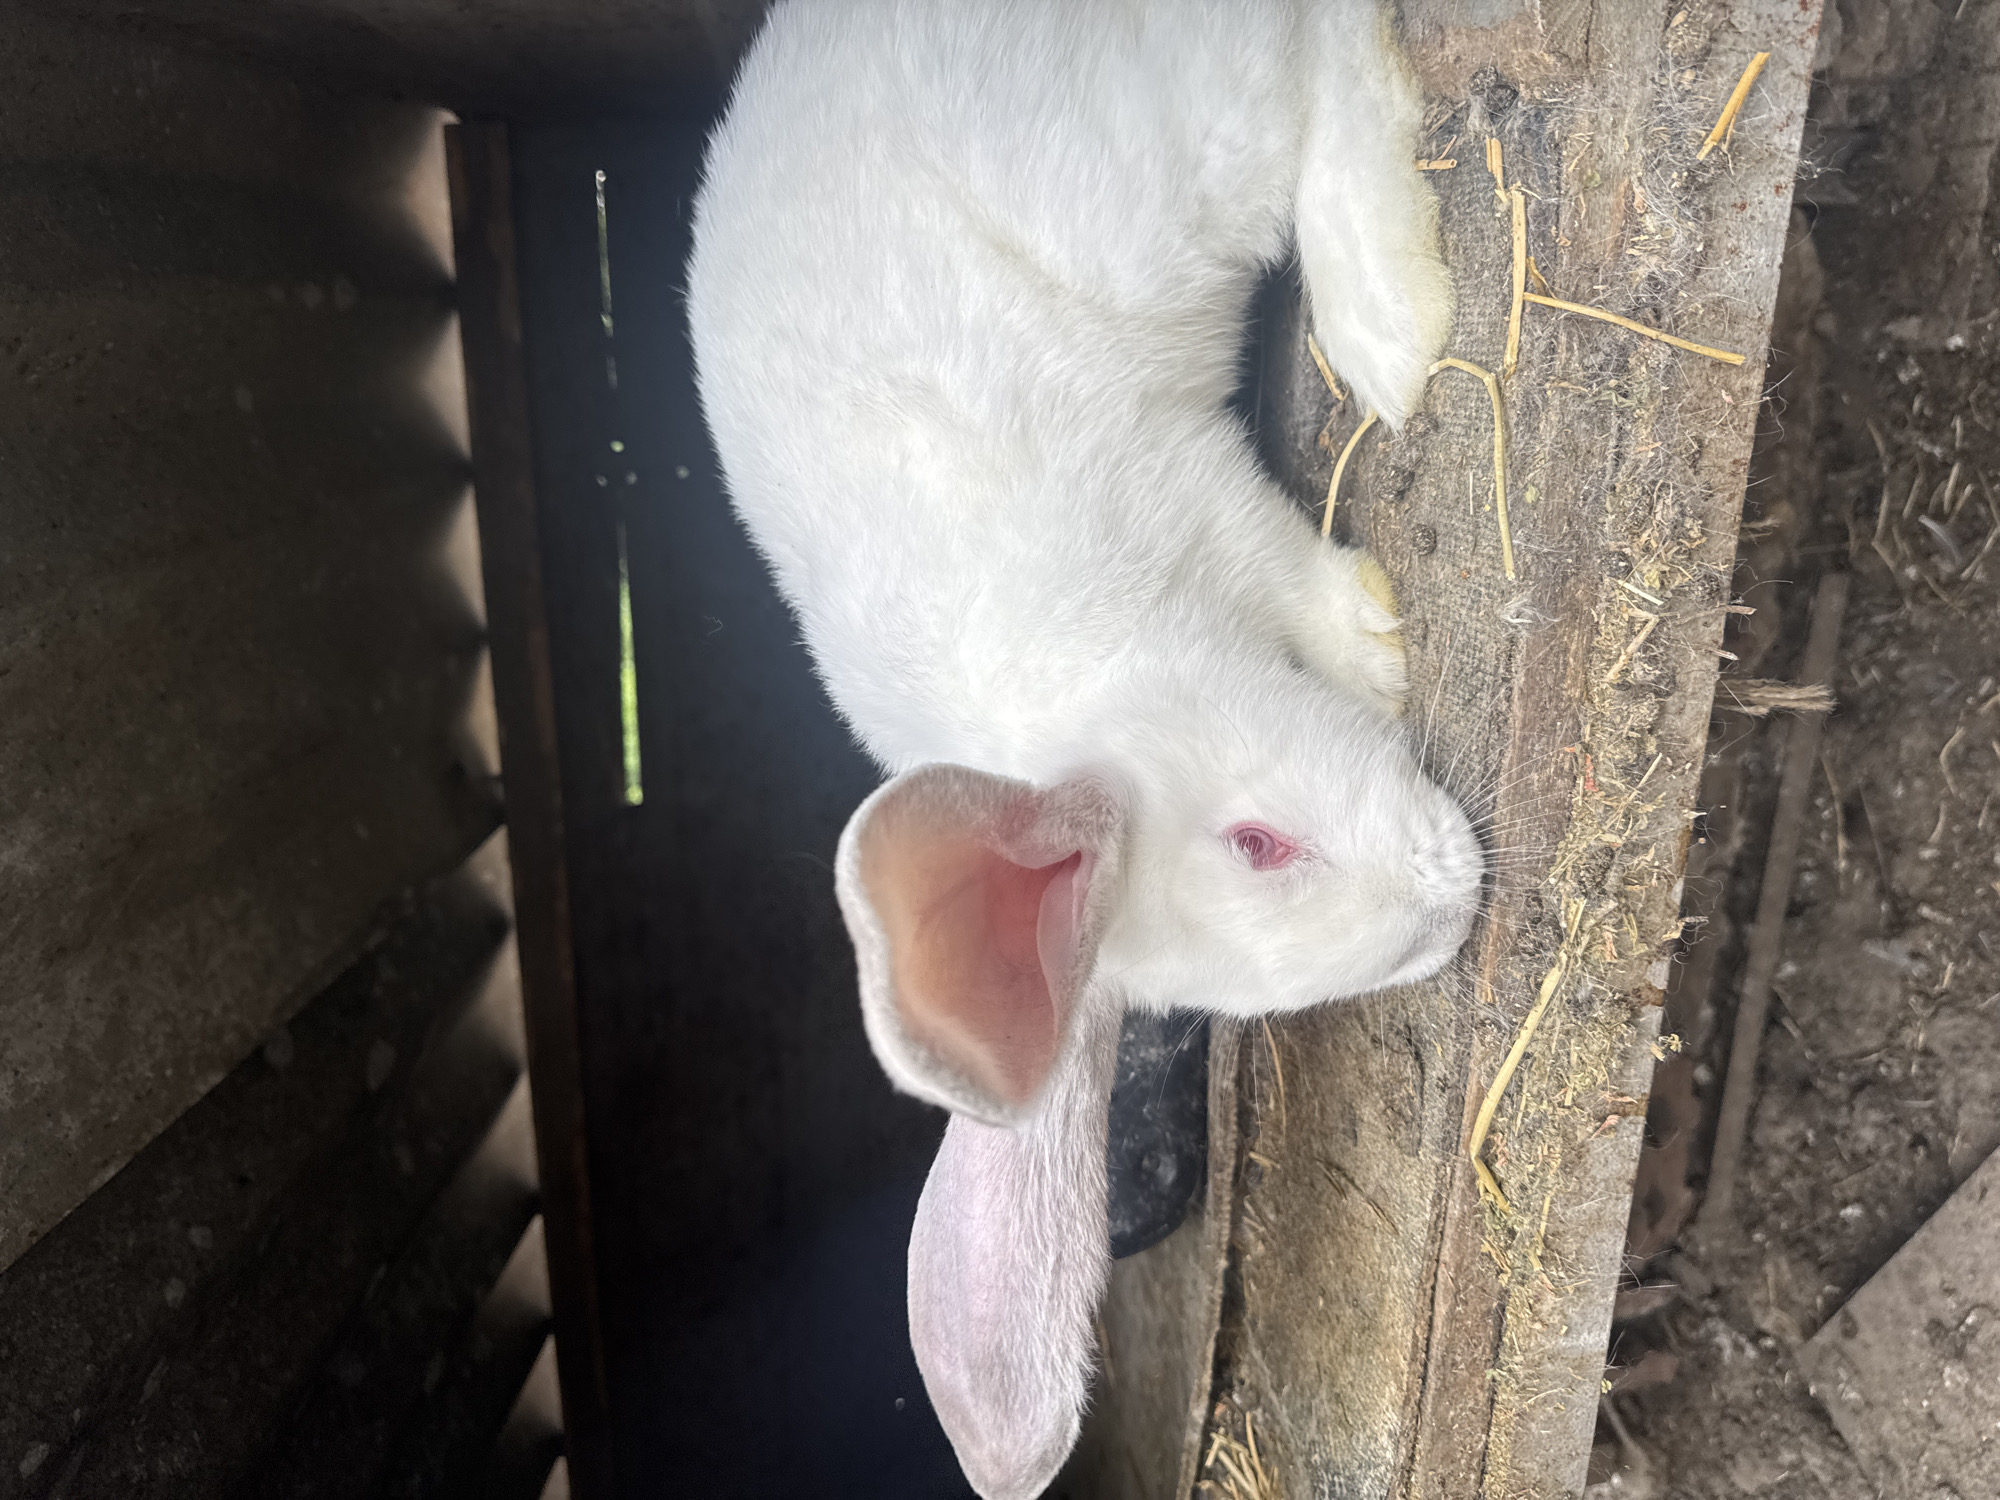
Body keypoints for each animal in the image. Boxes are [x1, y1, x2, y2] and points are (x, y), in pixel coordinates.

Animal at [686, 1, 1481, 1495]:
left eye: (1254, 841)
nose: (1452, 901)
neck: (1113, 683)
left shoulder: (1178, 491)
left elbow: (1282, 563)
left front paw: (1373, 647)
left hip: (1162, 149)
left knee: (1320, 61)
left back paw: (1394, 340)